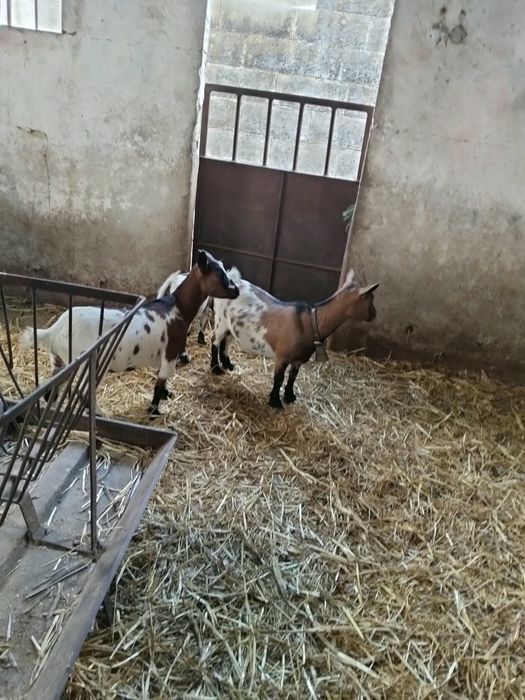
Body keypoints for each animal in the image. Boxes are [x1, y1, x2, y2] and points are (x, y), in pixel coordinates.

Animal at [21, 250, 239, 415]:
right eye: (221, 276)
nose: (236, 291)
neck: (177, 308)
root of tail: (53, 332)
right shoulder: (170, 355)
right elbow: (159, 382)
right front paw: (154, 410)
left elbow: (161, 380)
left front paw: (166, 395)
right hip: (83, 366)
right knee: (84, 394)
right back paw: (101, 414)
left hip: (59, 361)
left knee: (53, 385)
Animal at [211, 268, 379, 409]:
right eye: (370, 299)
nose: (374, 314)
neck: (311, 322)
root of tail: (232, 278)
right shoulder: (282, 356)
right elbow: (278, 378)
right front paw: (275, 402)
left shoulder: (298, 359)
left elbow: (292, 377)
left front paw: (289, 397)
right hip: (220, 320)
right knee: (215, 341)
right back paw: (215, 369)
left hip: (231, 326)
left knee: (225, 342)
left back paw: (228, 365)